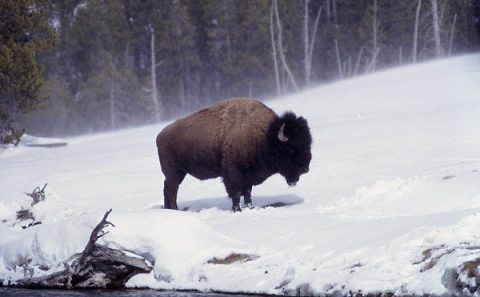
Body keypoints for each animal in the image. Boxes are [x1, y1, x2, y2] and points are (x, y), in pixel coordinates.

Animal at [156, 98, 314, 212]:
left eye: (309, 143)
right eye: (292, 148)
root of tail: (160, 135)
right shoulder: (233, 174)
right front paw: (237, 210)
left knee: (168, 189)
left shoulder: (248, 175)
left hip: (178, 173)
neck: (265, 136)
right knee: (171, 190)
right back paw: (175, 209)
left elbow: (247, 193)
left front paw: (250, 207)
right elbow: (236, 193)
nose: (305, 169)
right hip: (174, 173)